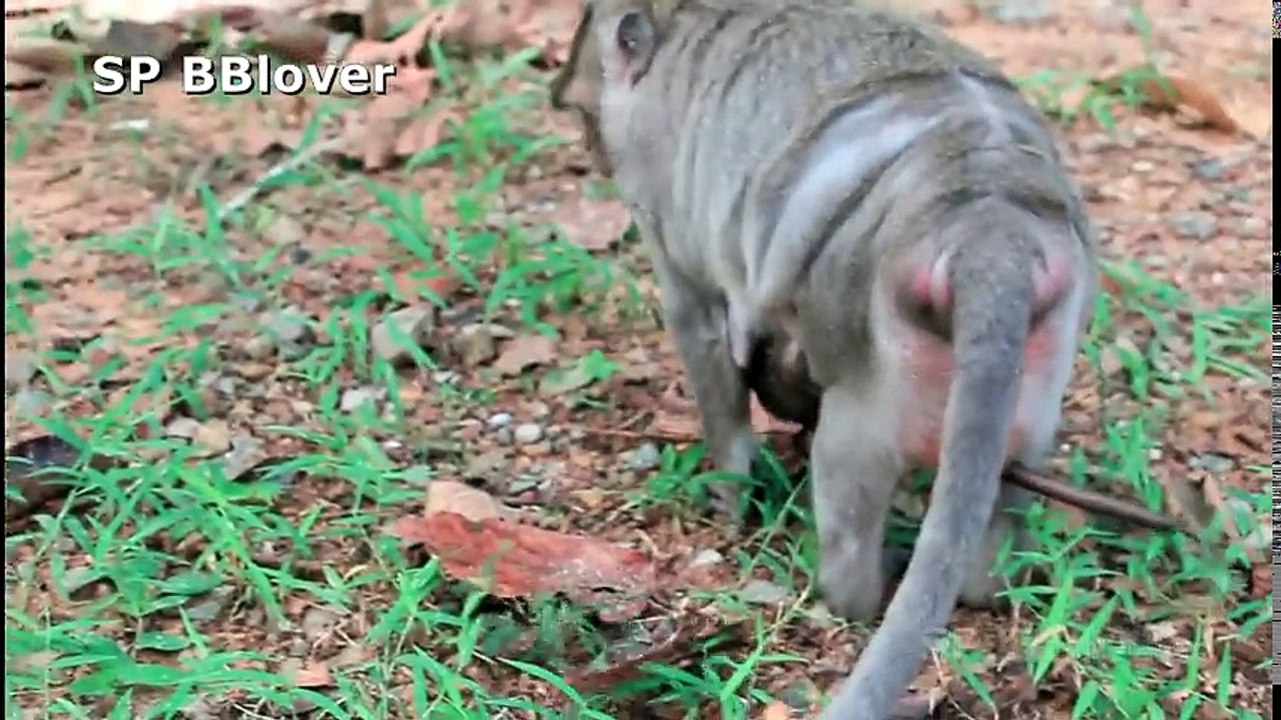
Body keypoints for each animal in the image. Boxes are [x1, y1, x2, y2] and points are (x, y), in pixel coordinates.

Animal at [550, 1, 1101, 717]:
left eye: (584, 110)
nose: (589, 141)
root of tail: (989, 227)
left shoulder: (661, 195)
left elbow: (701, 328)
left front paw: (727, 494)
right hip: (1038, 364)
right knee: (1009, 483)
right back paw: (986, 580)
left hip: (879, 388)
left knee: (846, 467)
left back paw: (850, 588)